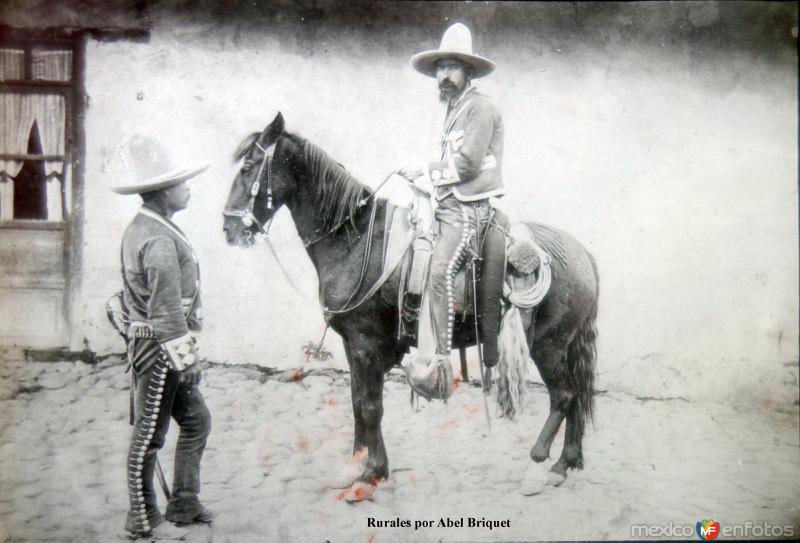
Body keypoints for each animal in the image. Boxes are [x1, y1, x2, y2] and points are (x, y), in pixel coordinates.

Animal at [222, 113, 596, 498]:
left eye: (248, 165)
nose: (229, 227)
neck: (355, 240)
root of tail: (582, 253)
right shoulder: (353, 345)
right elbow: (358, 402)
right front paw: (361, 466)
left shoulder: (365, 343)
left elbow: (370, 405)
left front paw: (370, 473)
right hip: (564, 346)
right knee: (578, 396)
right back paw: (563, 464)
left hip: (549, 346)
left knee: (564, 396)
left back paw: (538, 466)